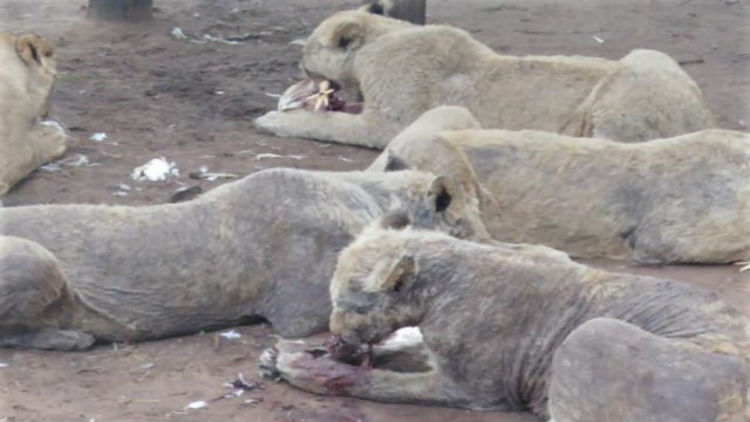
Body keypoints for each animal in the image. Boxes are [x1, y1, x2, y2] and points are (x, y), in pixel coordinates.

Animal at [258, 8, 716, 148]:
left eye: (305, 65)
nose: (297, 74)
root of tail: (704, 117)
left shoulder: (389, 121)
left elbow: (329, 123)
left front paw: (273, 118)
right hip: (649, 56)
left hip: (625, 89)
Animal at [262, 221, 750, 422]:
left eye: (344, 302)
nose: (337, 335)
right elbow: (402, 348)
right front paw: (288, 353)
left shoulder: (473, 389)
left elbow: (380, 381)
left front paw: (308, 367)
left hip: (591, 335)